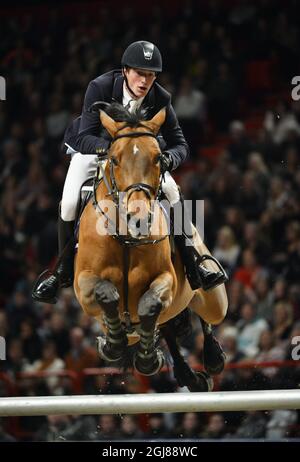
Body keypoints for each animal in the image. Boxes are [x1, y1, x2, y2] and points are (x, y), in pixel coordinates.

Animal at [73, 104, 227, 390]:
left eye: (158, 158)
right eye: (114, 159)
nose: (140, 220)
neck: (126, 238)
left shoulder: (166, 280)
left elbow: (149, 304)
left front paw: (147, 359)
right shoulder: (83, 287)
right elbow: (105, 292)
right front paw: (113, 345)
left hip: (212, 300)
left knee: (206, 314)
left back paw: (212, 359)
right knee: (165, 328)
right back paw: (188, 375)